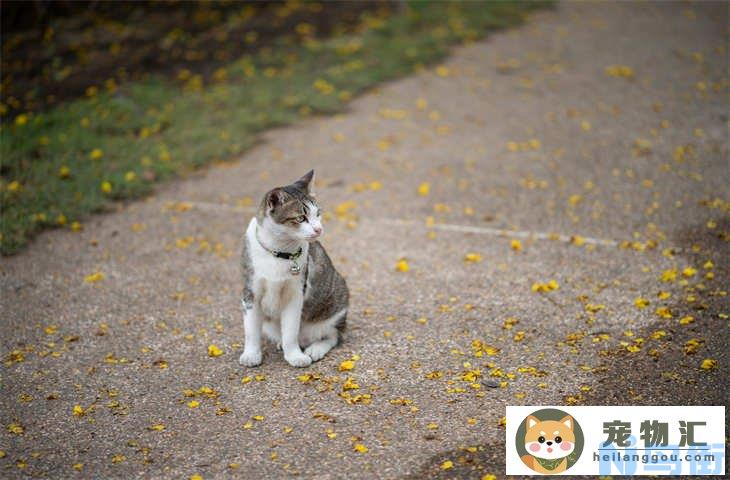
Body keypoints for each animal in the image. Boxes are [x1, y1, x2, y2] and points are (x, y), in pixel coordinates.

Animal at [237, 170, 348, 368]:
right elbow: (251, 330)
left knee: (333, 336)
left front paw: (295, 355)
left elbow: (290, 329)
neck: (279, 251)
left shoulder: (296, 292)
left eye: (318, 214)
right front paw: (251, 354)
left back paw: (315, 348)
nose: (319, 229)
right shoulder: (250, 290)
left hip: (336, 305)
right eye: (300, 218)